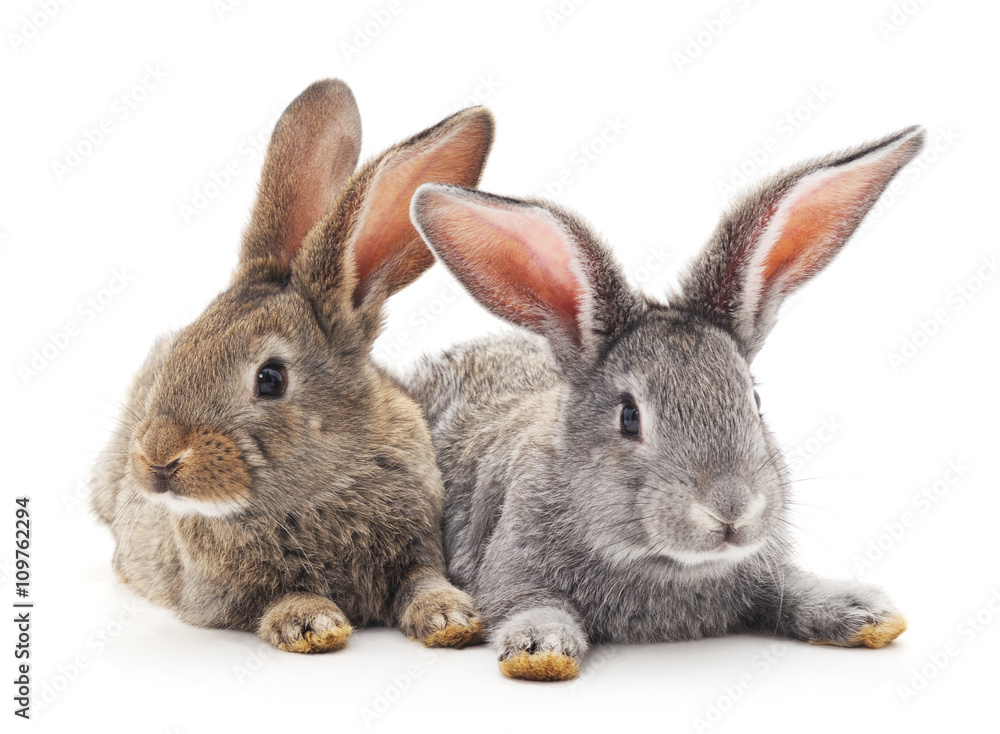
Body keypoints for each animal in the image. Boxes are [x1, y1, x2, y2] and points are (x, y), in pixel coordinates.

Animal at [89, 79, 495, 653]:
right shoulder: (224, 592)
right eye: (181, 349)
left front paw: (451, 617)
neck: (319, 490)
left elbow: (422, 579)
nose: (158, 457)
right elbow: (277, 596)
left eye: (270, 378)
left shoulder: (419, 546)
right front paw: (312, 624)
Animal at [405, 125, 925, 680]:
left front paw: (864, 612)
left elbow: (789, 588)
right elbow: (528, 602)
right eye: (629, 417)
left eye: (755, 399)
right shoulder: (510, 565)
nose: (731, 509)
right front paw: (539, 650)